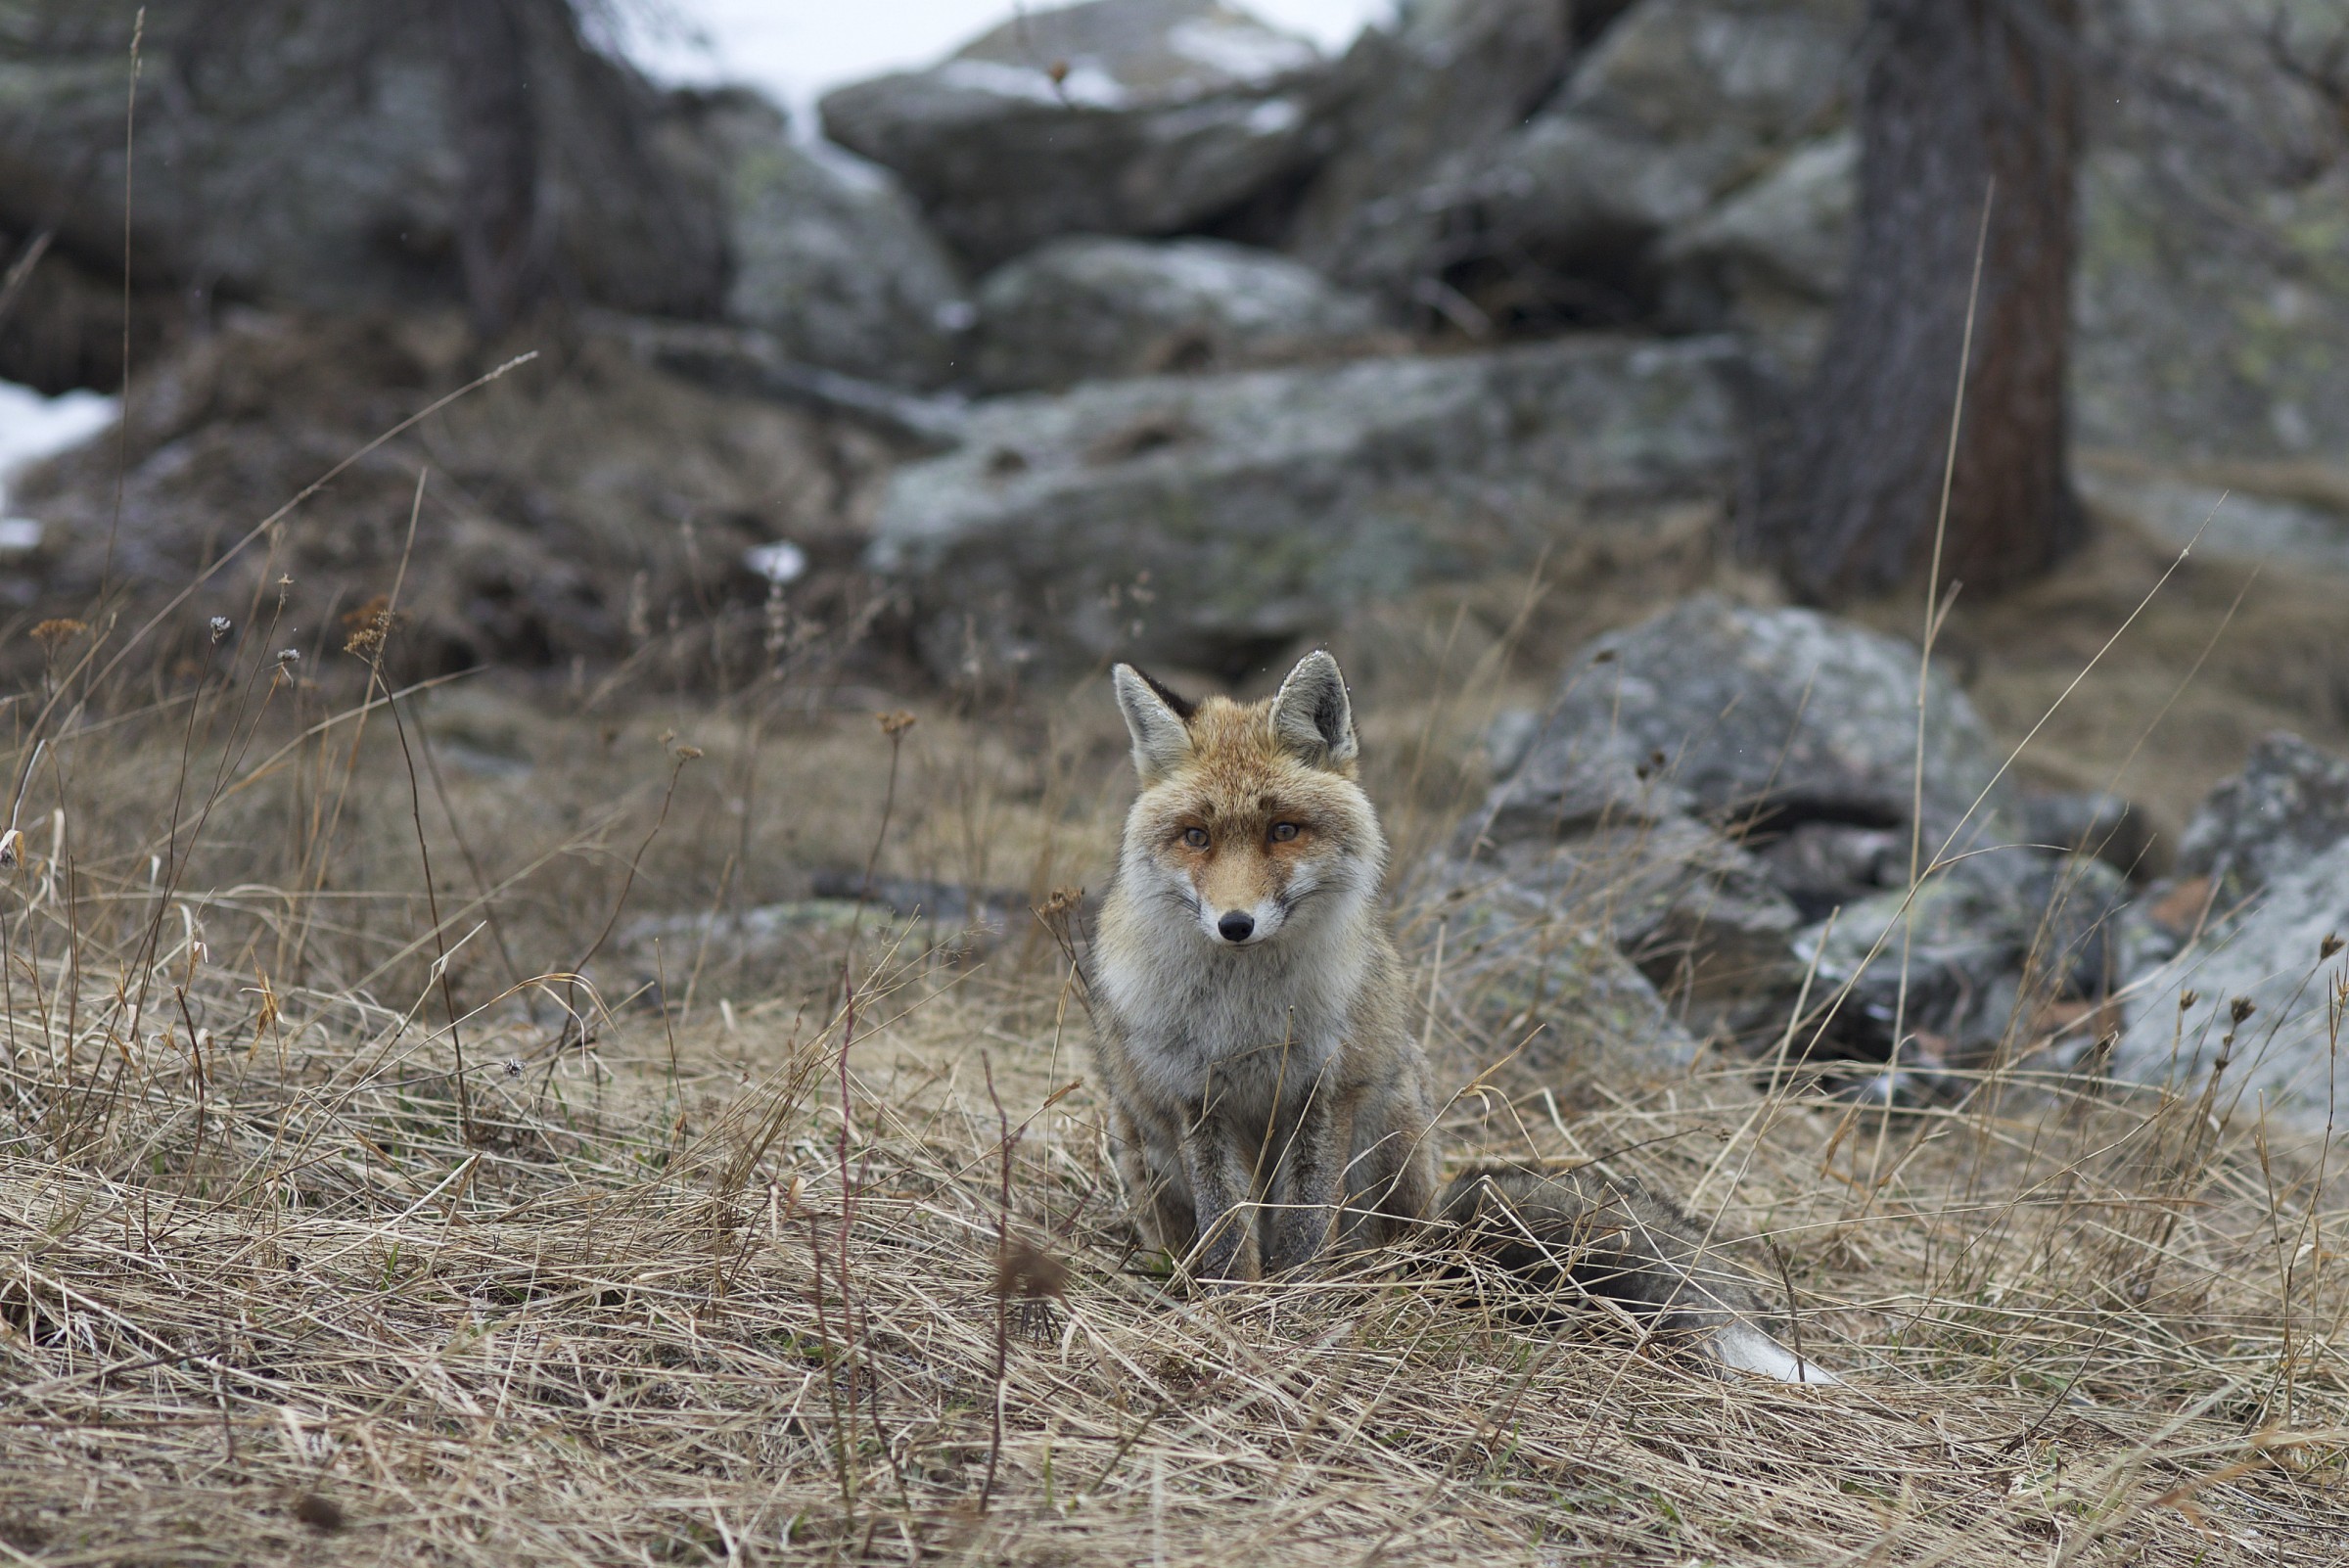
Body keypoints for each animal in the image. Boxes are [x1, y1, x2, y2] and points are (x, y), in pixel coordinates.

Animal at [1092, 650, 1835, 1383]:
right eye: (1196, 836)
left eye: (1283, 831)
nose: (1235, 924)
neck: (1247, 1016)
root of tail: (1439, 1238)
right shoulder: (1198, 1100)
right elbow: (1227, 1238)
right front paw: (1234, 1314)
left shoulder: (1321, 1091)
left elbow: (1303, 1233)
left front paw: (1291, 1314)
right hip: (1141, 1144)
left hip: (1392, 1132)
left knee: (1374, 1255)